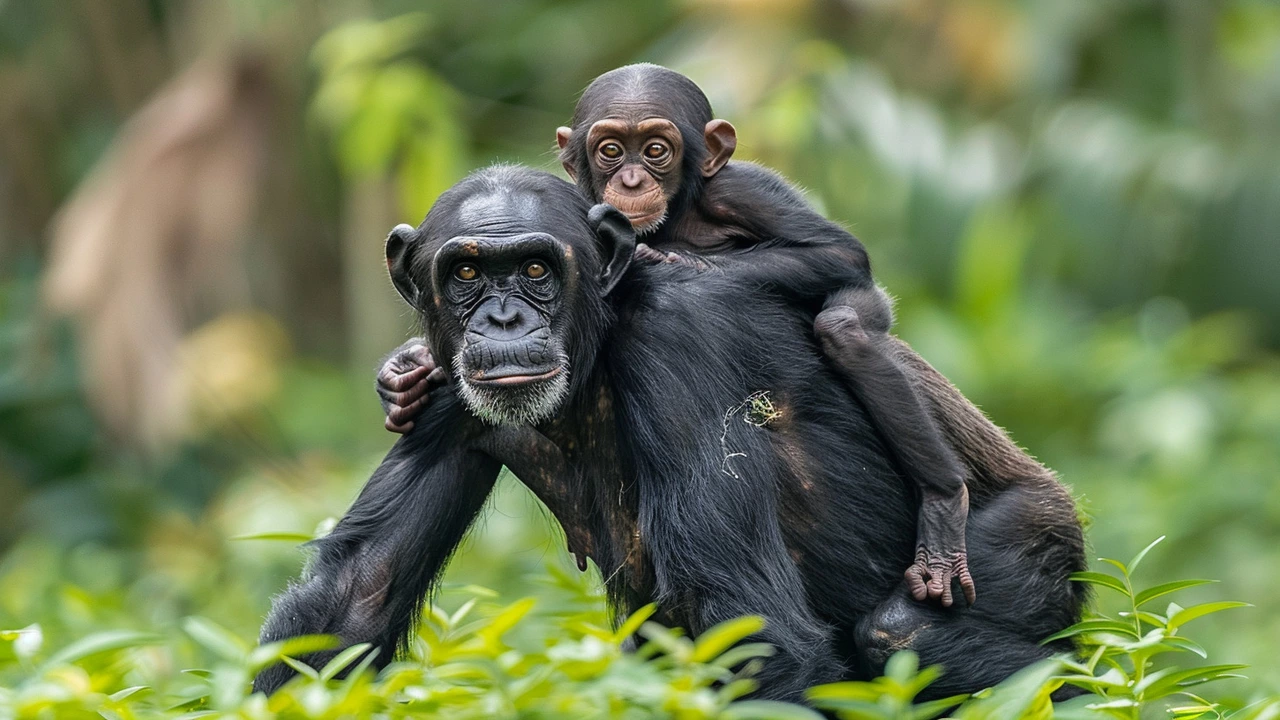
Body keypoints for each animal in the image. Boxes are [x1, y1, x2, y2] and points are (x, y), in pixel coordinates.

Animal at [257, 165, 1080, 696]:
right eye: (465, 275)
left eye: (535, 268)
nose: (503, 319)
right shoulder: (446, 387)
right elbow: (354, 597)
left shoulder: (677, 342)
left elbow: (753, 632)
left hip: (1026, 547)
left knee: (908, 633)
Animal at [373, 65, 1024, 604]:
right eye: (610, 150)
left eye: (657, 149)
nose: (632, 177)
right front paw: (404, 373)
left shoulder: (743, 194)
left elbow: (836, 252)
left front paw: (663, 262)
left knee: (847, 330)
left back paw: (943, 508)